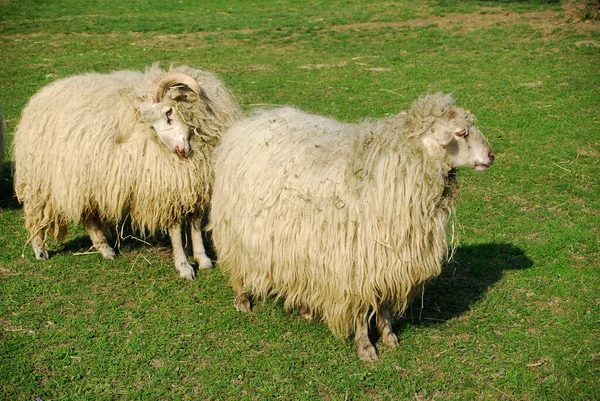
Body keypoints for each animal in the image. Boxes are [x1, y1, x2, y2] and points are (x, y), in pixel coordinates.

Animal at [12, 64, 241, 280]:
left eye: (168, 112)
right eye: (152, 123)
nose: (178, 150)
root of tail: (42, 94)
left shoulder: (196, 183)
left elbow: (194, 224)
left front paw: (203, 260)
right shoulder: (166, 188)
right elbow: (175, 229)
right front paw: (184, 267)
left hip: (85, 181)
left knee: (89, 218)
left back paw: (105, 249)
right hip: (39, 181)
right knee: (36, 213)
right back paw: (39, 249)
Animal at [209, 92, 494, 360]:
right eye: (461, 133)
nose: (491, 155)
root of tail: (248, 123)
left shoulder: (388, 259)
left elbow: (385, 304)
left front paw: (389, 336)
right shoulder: (355, 266)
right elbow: (360, 311)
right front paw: (365, 347)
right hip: (234, 228)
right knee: (236, 265)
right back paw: (242, 299)